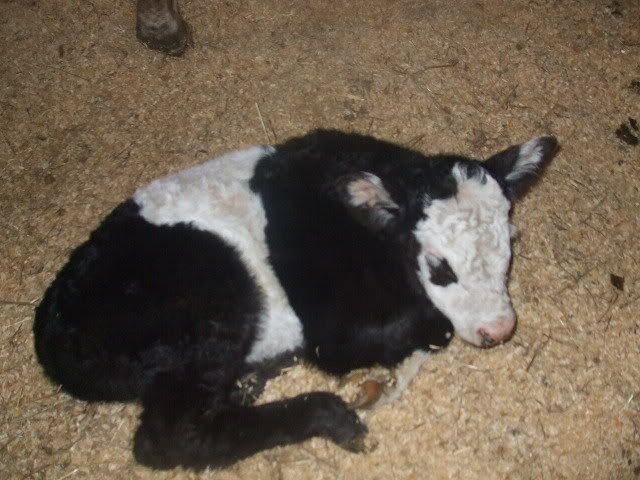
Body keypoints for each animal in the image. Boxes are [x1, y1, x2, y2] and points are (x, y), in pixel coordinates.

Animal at [33, 129, 558, 470]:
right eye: (439, 265)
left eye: (510, 246)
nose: (498, 330)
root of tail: (52, 329)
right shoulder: (336, 330)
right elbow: (428, 328)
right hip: (213, 305)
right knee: (168, 439)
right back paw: (329, 416)